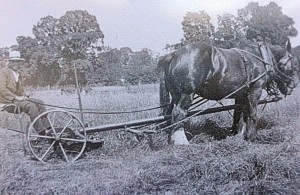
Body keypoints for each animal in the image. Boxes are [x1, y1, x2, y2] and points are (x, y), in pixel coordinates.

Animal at [159, 39, 298, 145]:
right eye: (295, 63)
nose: (294, 84)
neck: (261, 58)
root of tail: (174, 54)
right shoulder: (255, 90)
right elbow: (252, 114)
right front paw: (252, 137)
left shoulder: (241, 95)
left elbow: (240, 114)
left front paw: (239, 135)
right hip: (186, 94)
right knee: (178, 114)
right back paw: (181, 142)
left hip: (176, 95)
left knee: (169, 114)